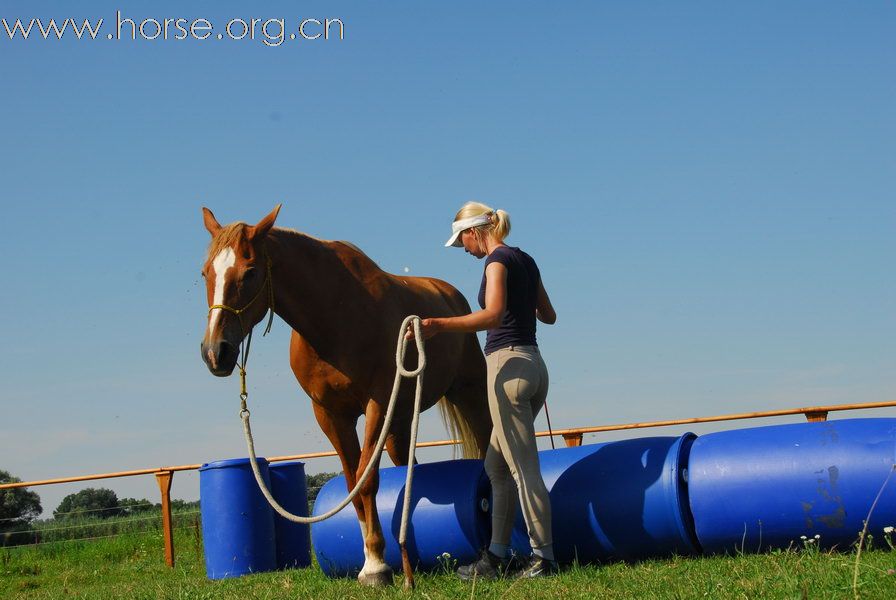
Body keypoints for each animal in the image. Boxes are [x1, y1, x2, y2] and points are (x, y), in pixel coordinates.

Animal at [199, 206, 490, 584]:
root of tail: (449, 294)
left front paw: (377, 567)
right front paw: (373, 560)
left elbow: (366, 482)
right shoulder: (330, 414)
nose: (215, 352)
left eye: (249, 272)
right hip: (399, 422)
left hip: (470, 393)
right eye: (205, 272)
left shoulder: (376, 404)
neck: (336, 317)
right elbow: (353, 485)